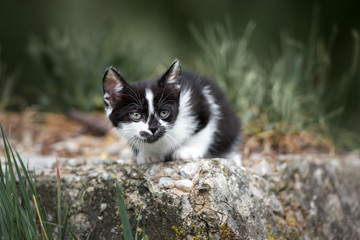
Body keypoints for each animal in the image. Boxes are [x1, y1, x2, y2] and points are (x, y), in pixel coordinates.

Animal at [102, 61, 240, 164]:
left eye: (164, 113)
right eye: (136, 115)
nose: (153, 128)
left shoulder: (201, 100)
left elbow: (205, 128)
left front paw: (188, 151)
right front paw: (148, 154)